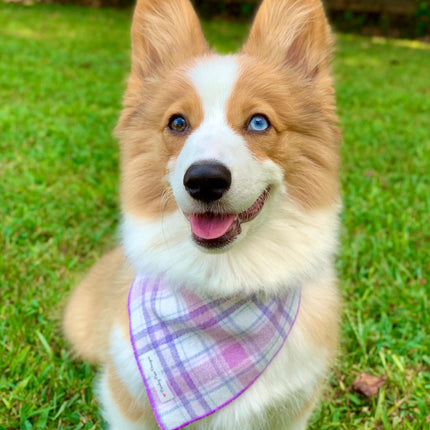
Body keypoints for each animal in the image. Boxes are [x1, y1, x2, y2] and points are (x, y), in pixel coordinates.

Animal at [62, 0, 340, 428]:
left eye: (258, 122)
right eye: (178, 122)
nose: (205, 180)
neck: (224, 280)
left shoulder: (293, 408)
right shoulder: (126, 398)